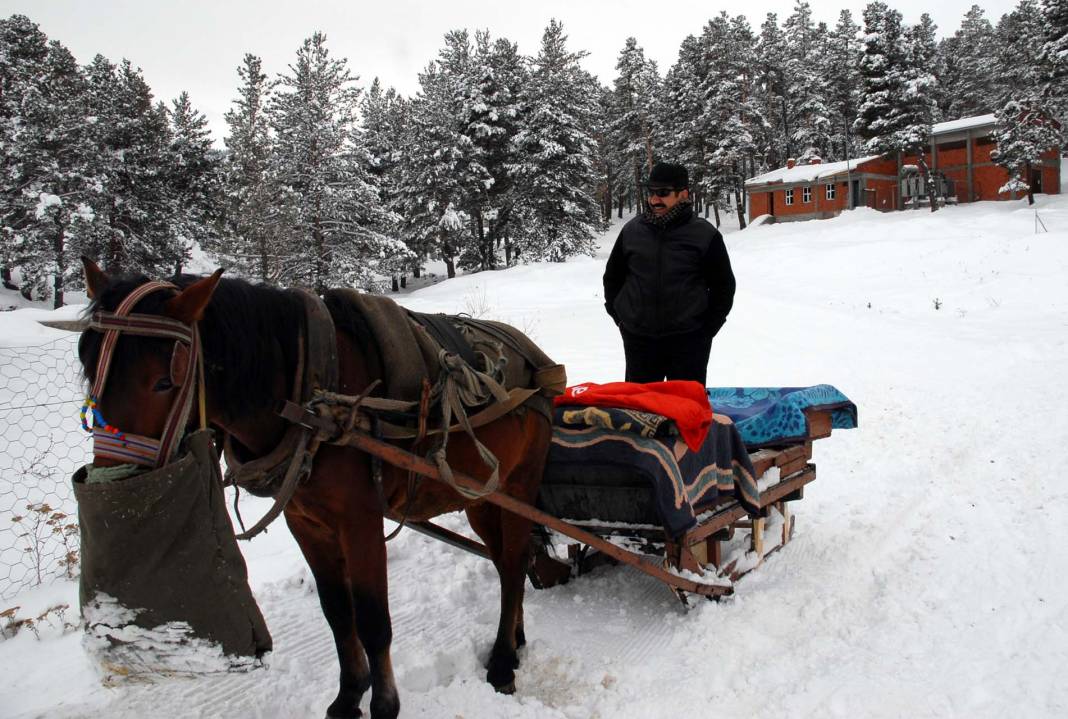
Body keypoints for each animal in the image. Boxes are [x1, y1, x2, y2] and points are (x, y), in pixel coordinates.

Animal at [77, 258, 551, 717]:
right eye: (88, 366)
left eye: (164, 381)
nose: (113, 481)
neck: (307, 396)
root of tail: (538, 362)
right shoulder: (305, 522)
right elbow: (337, 613)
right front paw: (348, 696)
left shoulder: (360, 521)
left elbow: (373, 620)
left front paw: (384, 706)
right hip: (482, 497)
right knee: (506, 561)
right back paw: (516, 636)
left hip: (519, 484)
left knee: (513, 565)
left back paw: (503, 661)